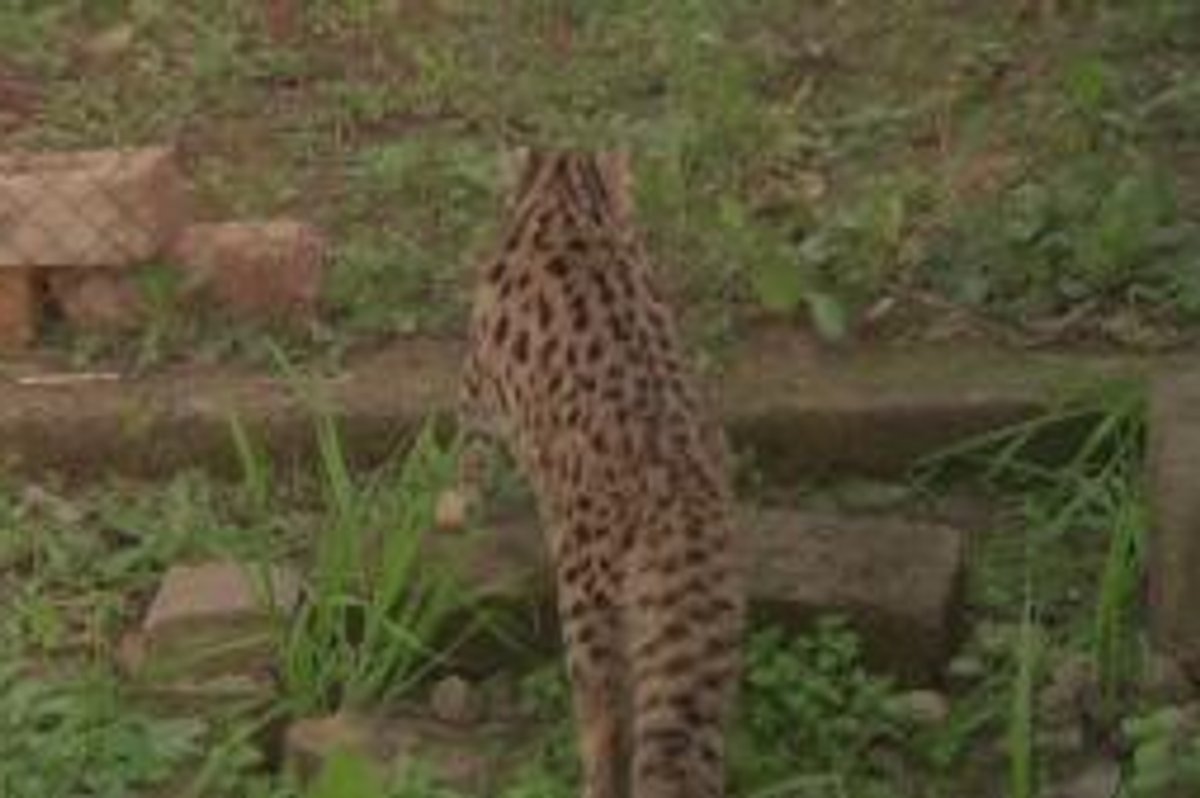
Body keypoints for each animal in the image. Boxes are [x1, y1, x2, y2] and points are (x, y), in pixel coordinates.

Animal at [449, 148, 744, 798]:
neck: (569, 205)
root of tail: (679, 481)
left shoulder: (478, 390)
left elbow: (465, 456)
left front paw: (452, 507)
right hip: (697, 622)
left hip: (589, 602)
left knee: (606, 718)